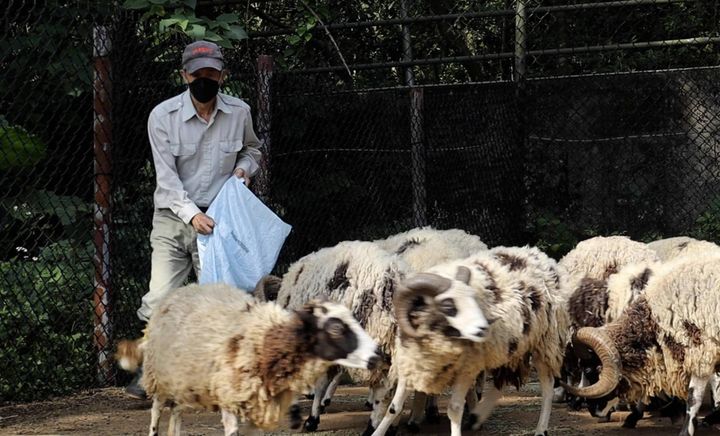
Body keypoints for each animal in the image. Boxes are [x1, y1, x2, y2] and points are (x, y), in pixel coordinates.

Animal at [115, 282, 380, 436]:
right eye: (335, 327)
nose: (377, 354)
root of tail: (182, 290)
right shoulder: (230, 394)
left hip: (185, 378)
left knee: (177, 414)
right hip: (161, 374)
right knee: (156, 412)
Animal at [374, 245, 572, 436]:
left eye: (473, 298)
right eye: (448, 305)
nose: (482, 328)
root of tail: (540, 255)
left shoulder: (467, 369)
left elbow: (454, 409)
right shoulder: (410, 365)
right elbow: (394, 408)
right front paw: (377, 432)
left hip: (545, 343)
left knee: (547, 387)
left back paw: (541, 429)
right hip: (512, 345)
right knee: (504, 379)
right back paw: (478, 416)